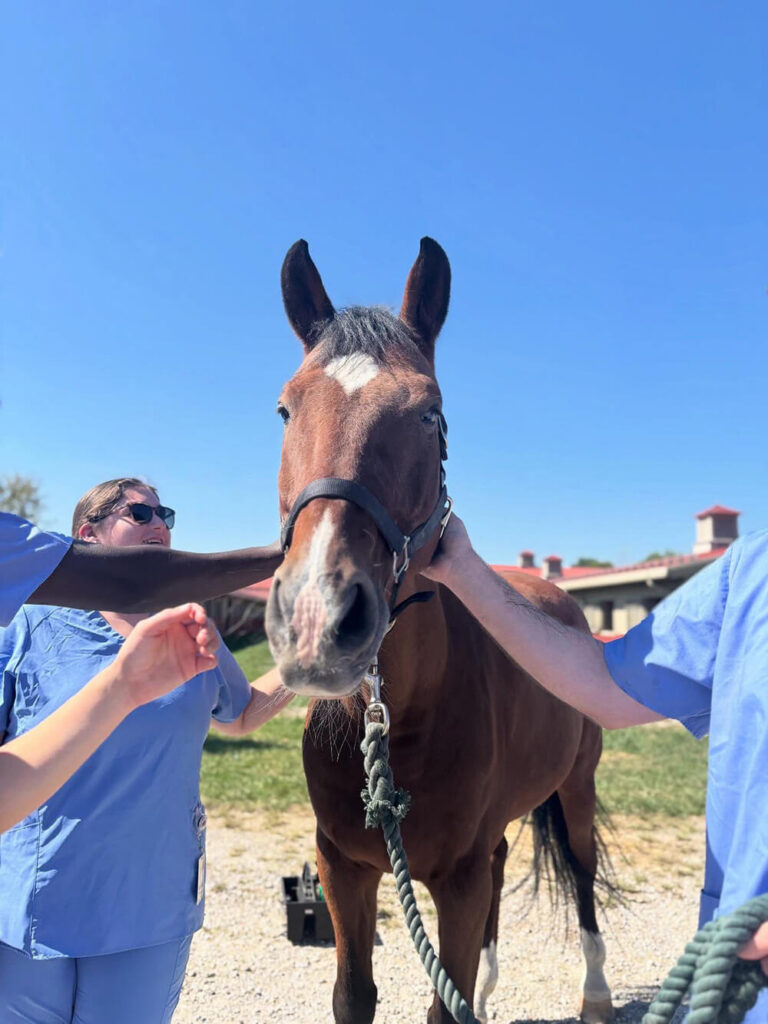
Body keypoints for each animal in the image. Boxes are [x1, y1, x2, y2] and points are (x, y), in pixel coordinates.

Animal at [265, 237, 614, 1024]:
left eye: (431, 415)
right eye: (284, 409)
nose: (317, 619)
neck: (397, 724)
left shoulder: (454, 884)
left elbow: (438, 1007)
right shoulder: (344, 869)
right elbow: (354, 995)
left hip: (577, 789)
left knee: (582, 879)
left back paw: (597, 995)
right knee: (505, 862)